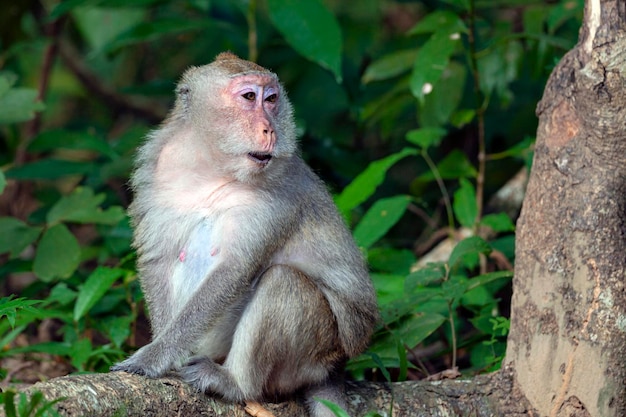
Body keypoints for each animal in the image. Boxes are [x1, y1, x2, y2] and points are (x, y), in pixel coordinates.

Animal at [109, 52, 378, 416]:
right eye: (249, 97)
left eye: (272, 99)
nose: (269, 129)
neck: (212, 166)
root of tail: (335, 368)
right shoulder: (157, 170)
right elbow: (158, 259)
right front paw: (164, 355)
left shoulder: (275, 197)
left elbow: (234, 269)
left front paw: (153, 357)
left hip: (317, 351)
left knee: (283, 282)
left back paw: (235, 383)